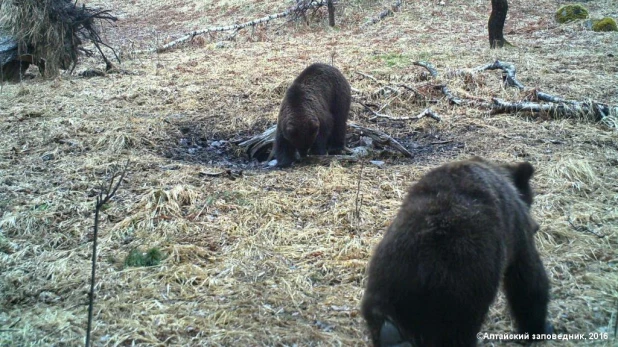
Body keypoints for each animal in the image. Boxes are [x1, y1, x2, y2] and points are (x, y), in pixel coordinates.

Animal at [358, 158, 552, 347]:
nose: (536, 226)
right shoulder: (515, 229)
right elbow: (528, 277)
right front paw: (538, 328)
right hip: (458, 295)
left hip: (385, 287)